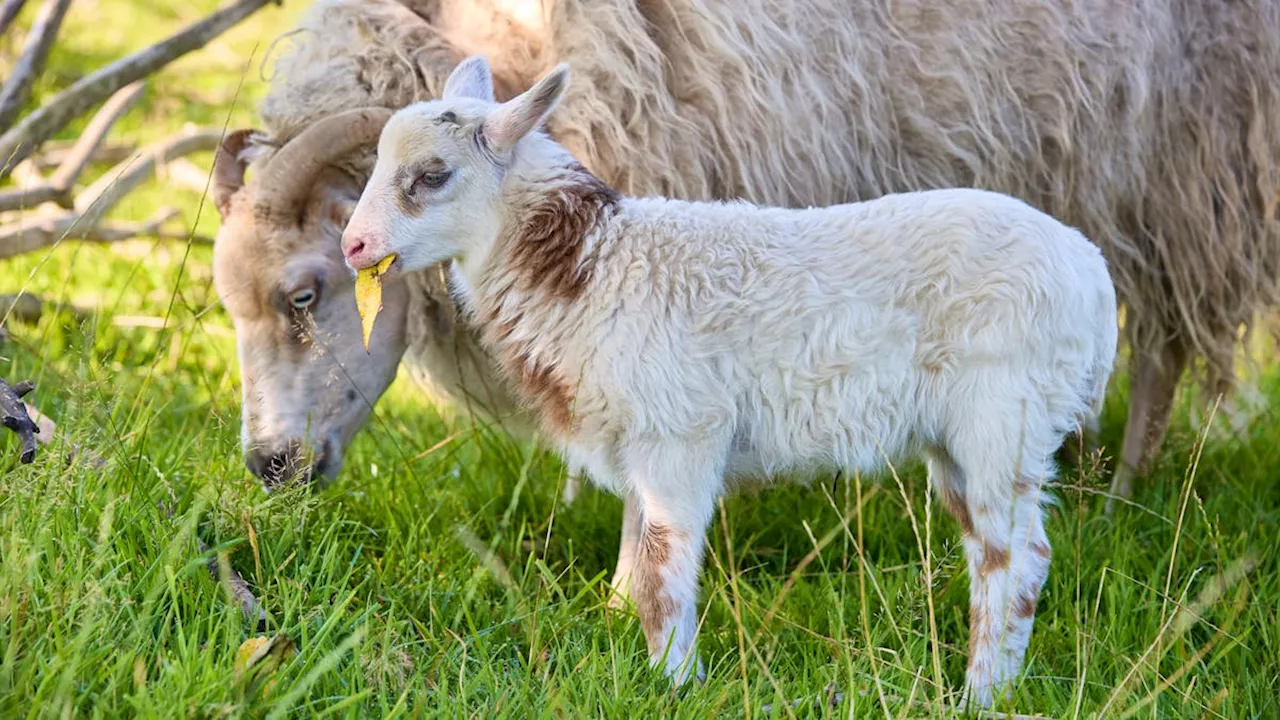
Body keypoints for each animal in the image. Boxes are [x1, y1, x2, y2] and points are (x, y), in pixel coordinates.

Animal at [340, 57, 1121, 707]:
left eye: (432, 175)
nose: (353, 245)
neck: (590, 267)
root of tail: (1093, 274)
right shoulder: (637, 439)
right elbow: (634, 563)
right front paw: (627, 656)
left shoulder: (680, 435)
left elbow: (662, 575)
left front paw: (674, 684)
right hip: (965, 437)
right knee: (998, 551)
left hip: (1005, 414)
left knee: (1015, 561)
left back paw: (981, 696)